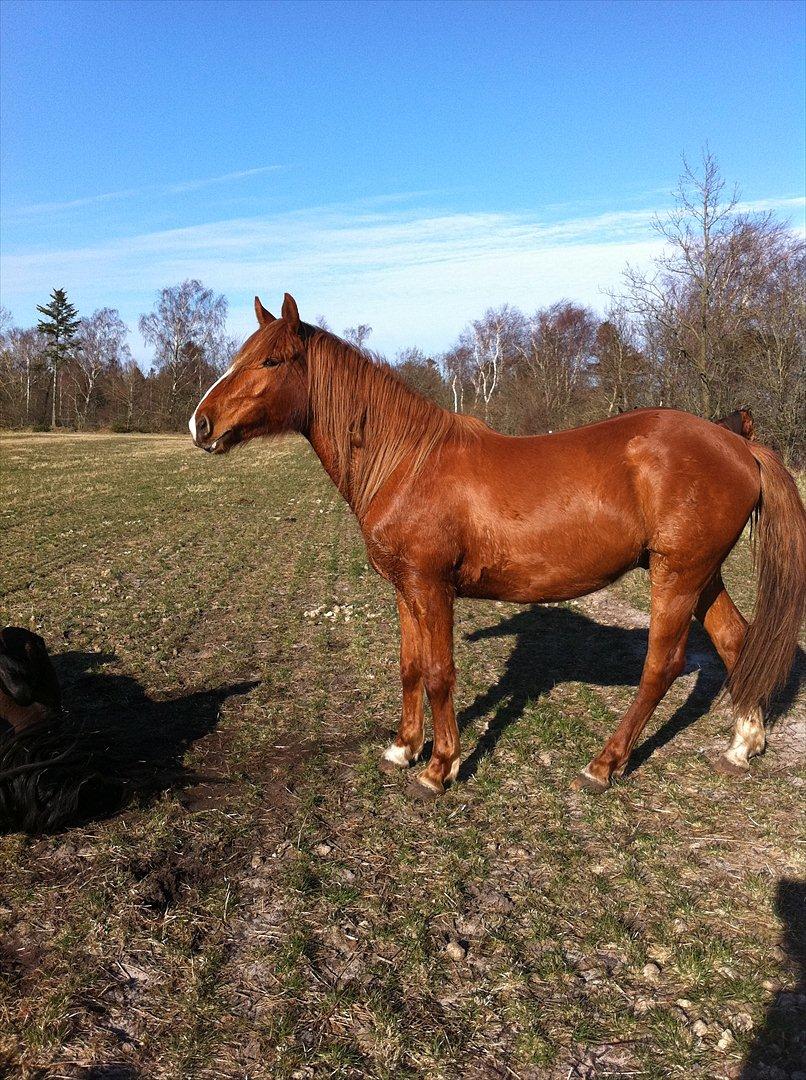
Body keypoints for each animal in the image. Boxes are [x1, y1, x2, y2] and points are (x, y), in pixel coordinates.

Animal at [190, 298, 803, 803]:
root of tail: (736, 443)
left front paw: (439, 768)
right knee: (735, 640)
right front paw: (402, 748)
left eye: (271, 361)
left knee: (663, 665)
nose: (201, 423)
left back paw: (604, 764)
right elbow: (410, 667)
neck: (408, 460)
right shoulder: (405, 590)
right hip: (701, 574)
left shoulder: (431, 586)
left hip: (677, 576)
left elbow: (439, 672)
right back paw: (742, 745)